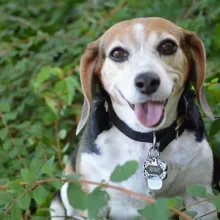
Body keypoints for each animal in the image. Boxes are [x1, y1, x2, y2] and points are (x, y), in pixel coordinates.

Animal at [49, 17, 217, 220]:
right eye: (118, 53)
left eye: (167, 46)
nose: (147, 81)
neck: (146, 137)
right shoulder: (94, 203)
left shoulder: (200, 196)